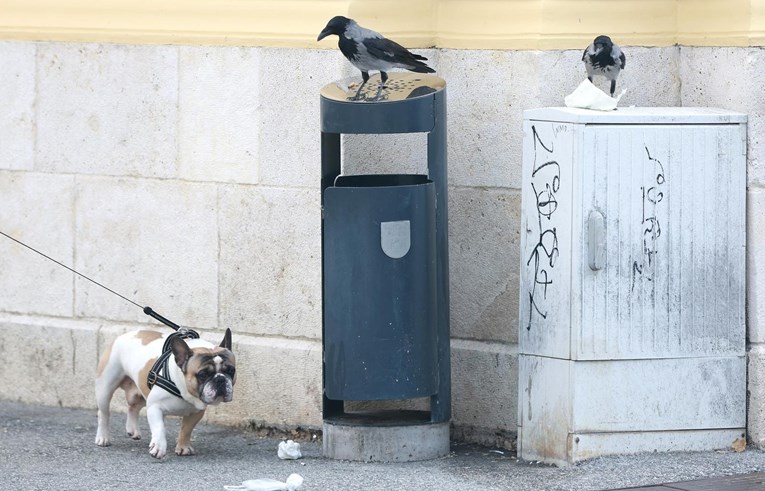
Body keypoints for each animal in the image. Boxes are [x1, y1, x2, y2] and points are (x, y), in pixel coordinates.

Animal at [94, 328, 234, 460]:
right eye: (203, 374)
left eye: (231, 371)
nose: (220, 379)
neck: (183, 388)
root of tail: (123, 335)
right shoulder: (154, 407)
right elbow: (159, 428)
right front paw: (158, 447)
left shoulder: (196, 412)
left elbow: (186, 430)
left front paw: (183, 447)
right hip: (105, 389)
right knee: (104, 414)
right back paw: (103, 437)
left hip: (142, 391)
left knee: (133, 407)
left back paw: (133, 430)